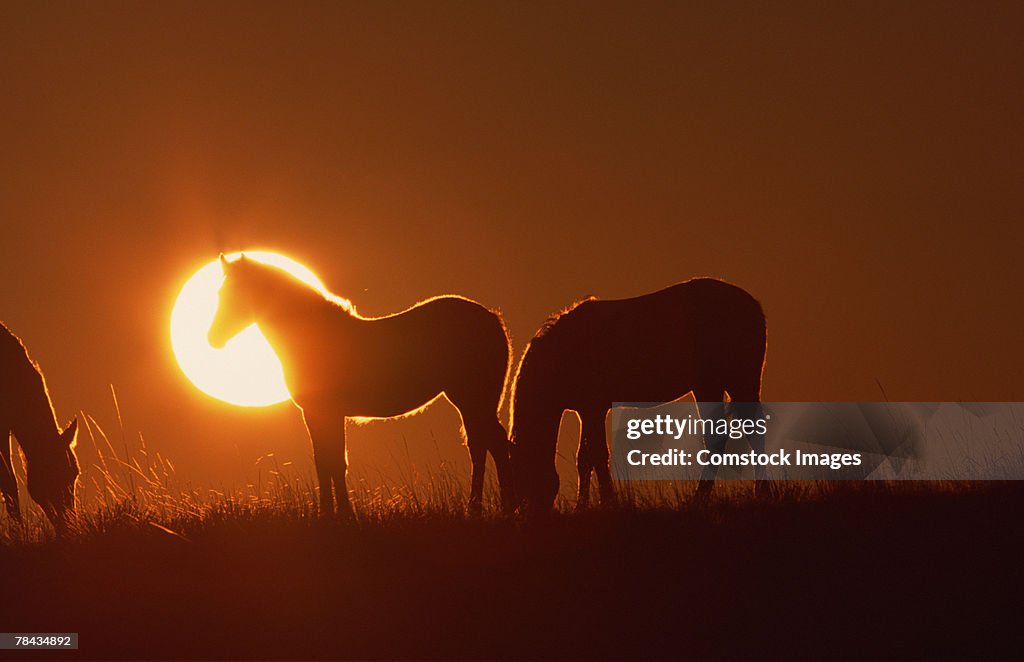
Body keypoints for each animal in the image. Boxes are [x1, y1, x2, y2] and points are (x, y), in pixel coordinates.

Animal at [207, 255, 516, 518]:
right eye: (220, 294)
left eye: (233, 293)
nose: (213, 338)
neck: (315, 337)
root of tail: (491, 318)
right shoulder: (322, 415)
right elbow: (328, 462)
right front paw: (335, 514)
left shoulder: (323, 412)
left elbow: (331, 462)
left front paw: (337, 516)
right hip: (473, 401)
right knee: (484, 445)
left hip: (472, 398)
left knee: (490, 445)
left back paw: (493, 509)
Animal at [507, 278, 765, 514]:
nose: (530, 513)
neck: (560, 355)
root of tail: (753, 304)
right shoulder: (587, 410)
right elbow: (584, 459)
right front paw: (582, 506)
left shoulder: (594, 409)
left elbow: (598, 455)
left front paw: (609, 502)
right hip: (711, 386)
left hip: (738, 382)